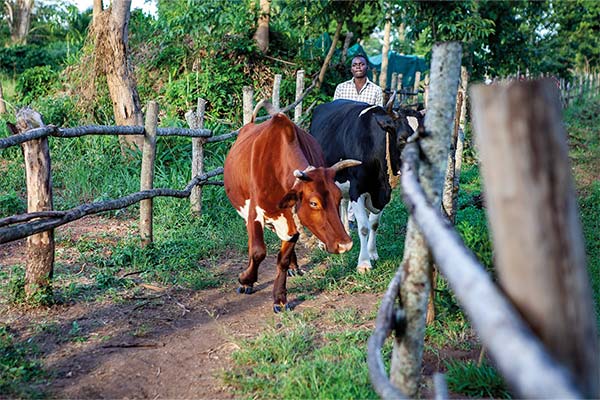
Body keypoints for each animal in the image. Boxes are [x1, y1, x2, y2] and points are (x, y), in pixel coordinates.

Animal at [224, 101, 356, 312]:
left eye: (337, 198)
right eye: (314, 203)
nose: (345, 244)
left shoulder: (292, 219)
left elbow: (283, 259)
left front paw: (279, 297)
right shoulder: (254, 214)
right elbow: (258, 251)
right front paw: (246, 280)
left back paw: (294, 266)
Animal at [310, 99, 422, 274]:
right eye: (402, 139)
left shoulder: (381, 194)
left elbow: (374, 224)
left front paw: (372, 254)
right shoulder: (357, 190)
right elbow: (363, 227)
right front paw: (363, 263)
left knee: (343, 202)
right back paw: (322, 243)